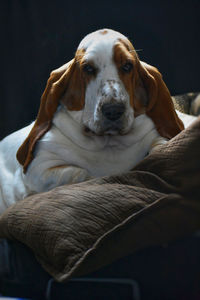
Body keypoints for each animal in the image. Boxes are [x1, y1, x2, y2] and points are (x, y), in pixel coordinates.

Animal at [0, 28, 197, 213]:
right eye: (88, 68)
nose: (113, 111)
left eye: (127, 66)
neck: (107, 144)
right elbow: (79, 172)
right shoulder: (38, 167)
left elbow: (159, 147)